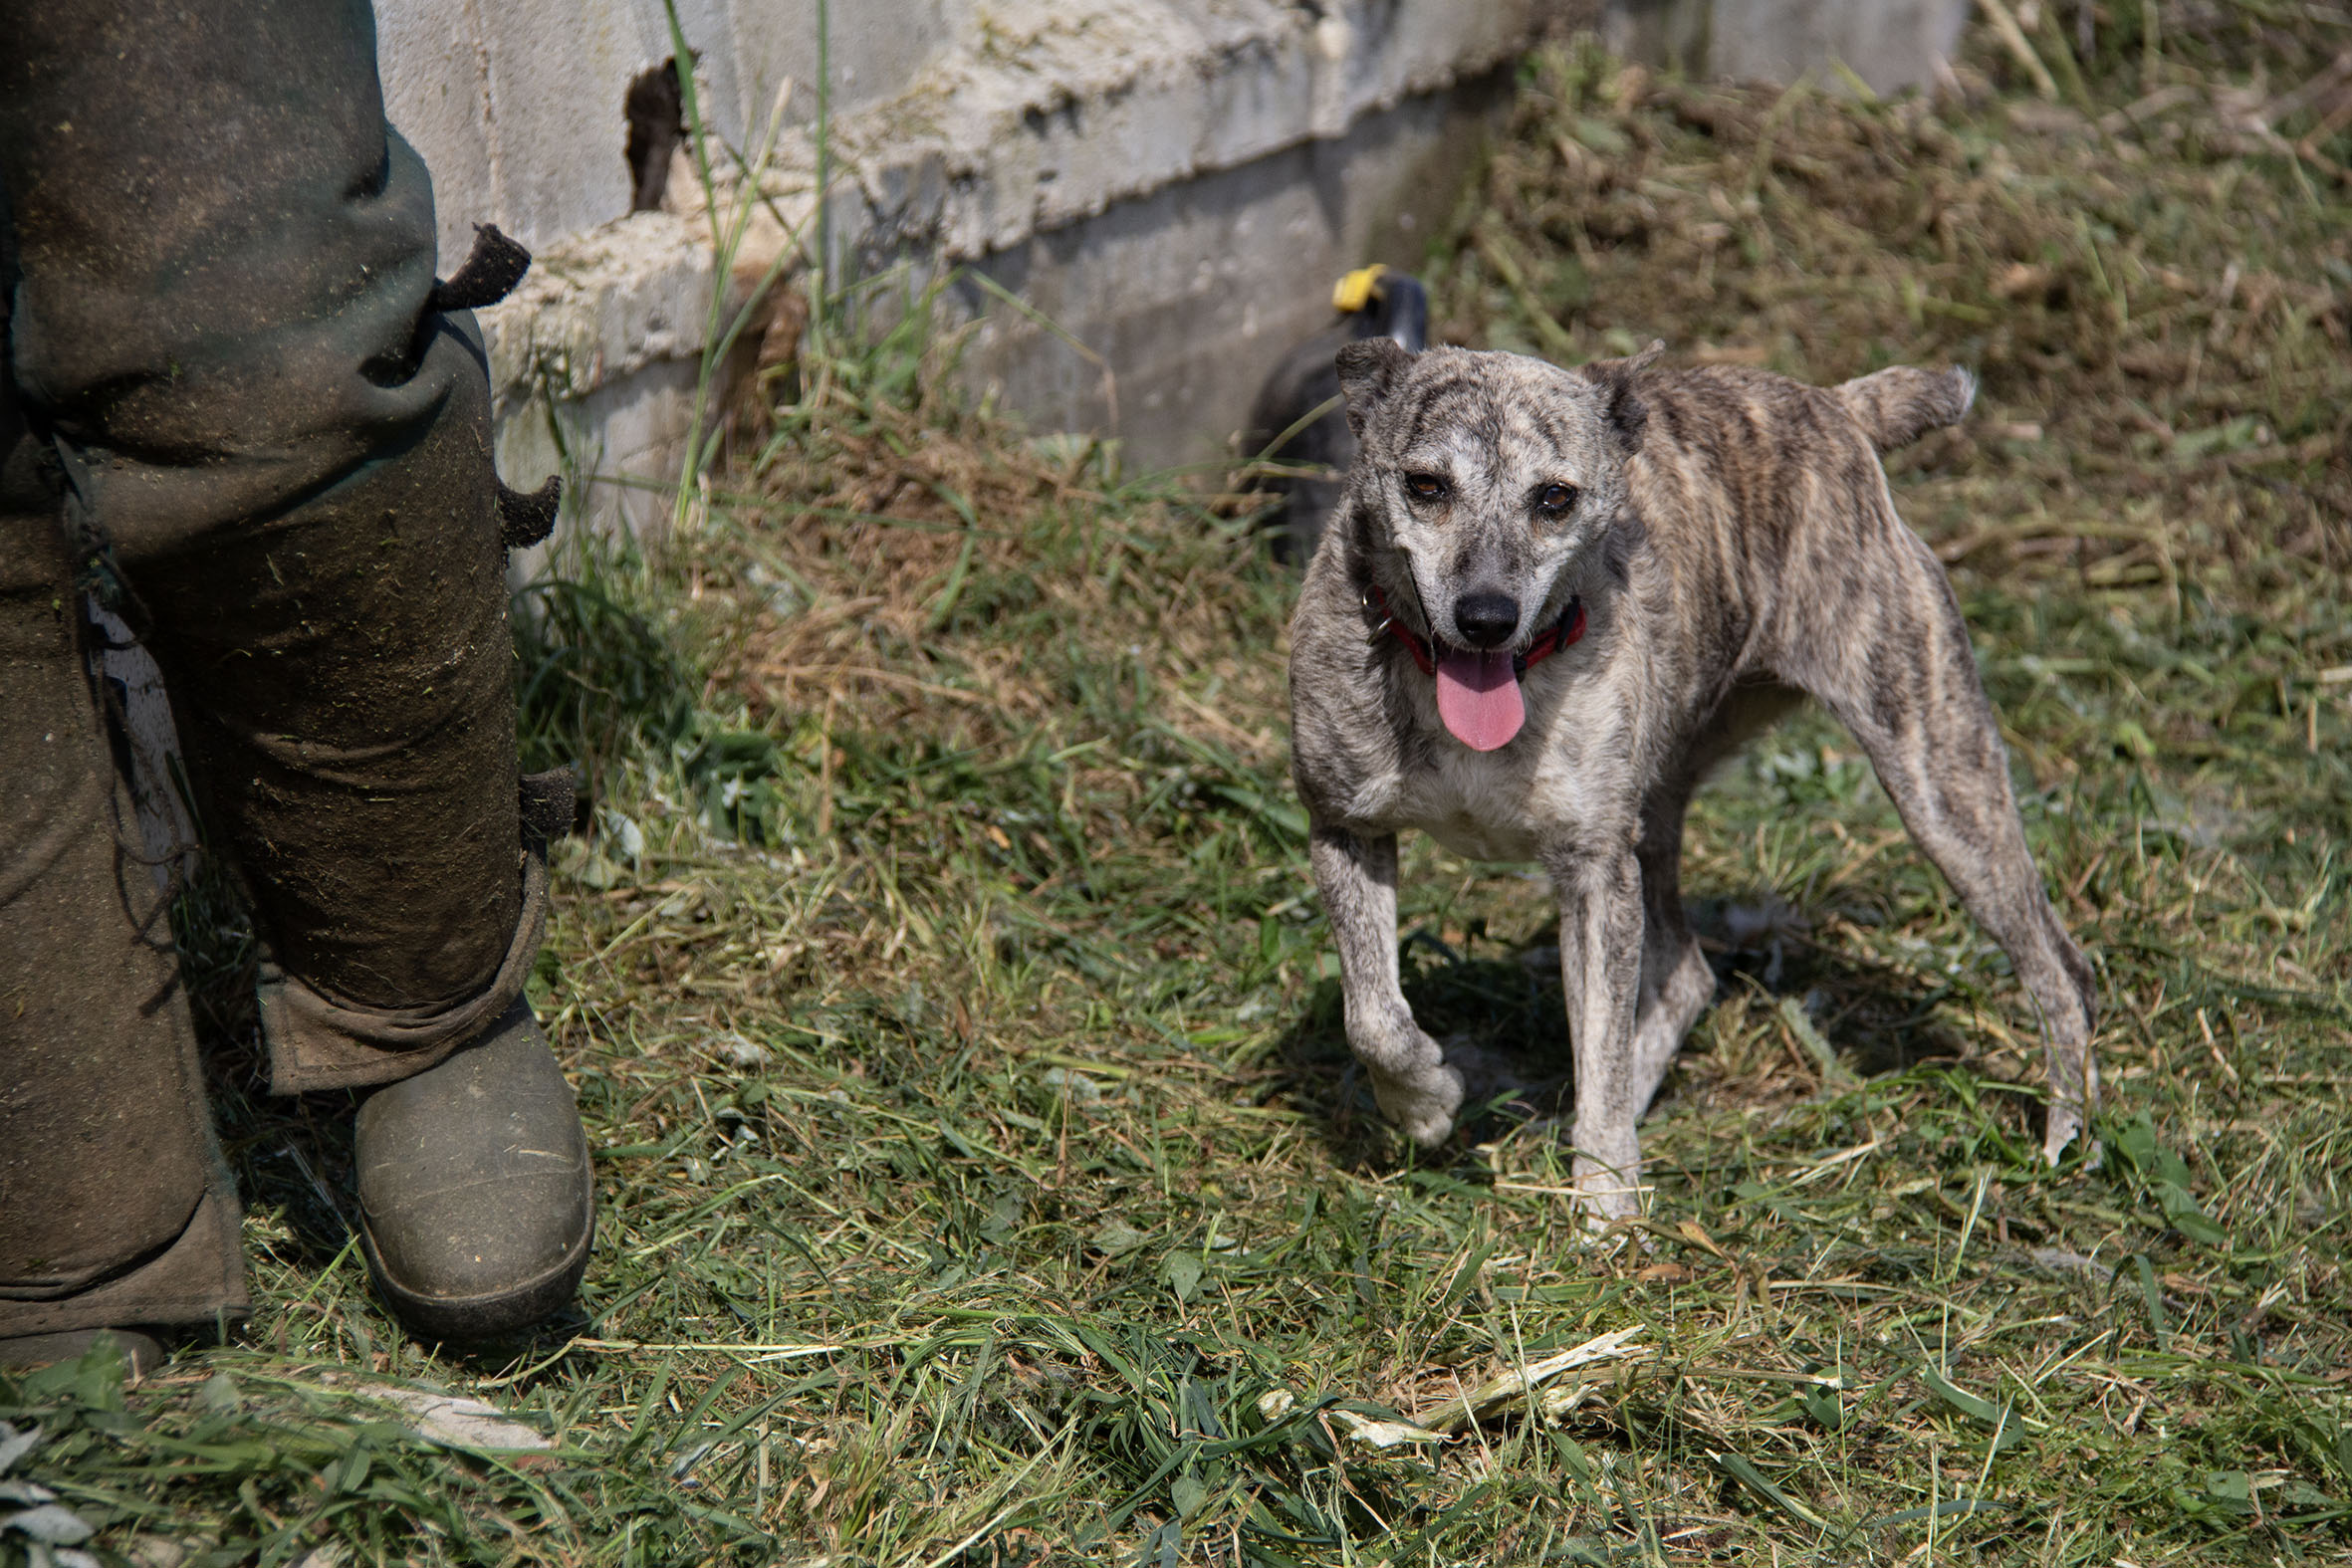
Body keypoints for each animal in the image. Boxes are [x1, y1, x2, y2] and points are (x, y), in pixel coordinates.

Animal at [1287, 341, 2098, 1219]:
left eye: (1554, 498)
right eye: (1427, 485)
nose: (1487, 617)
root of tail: (1840, 408)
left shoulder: (1595, 873)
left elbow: (1601, 1041)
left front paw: (1606, 1206)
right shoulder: (1346, 828)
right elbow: (1373, 1016)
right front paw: (1426, 1104)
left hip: (1940, 783)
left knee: (2060, 964)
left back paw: (2066, 1134)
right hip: (1662, 803)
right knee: (1687, 975)